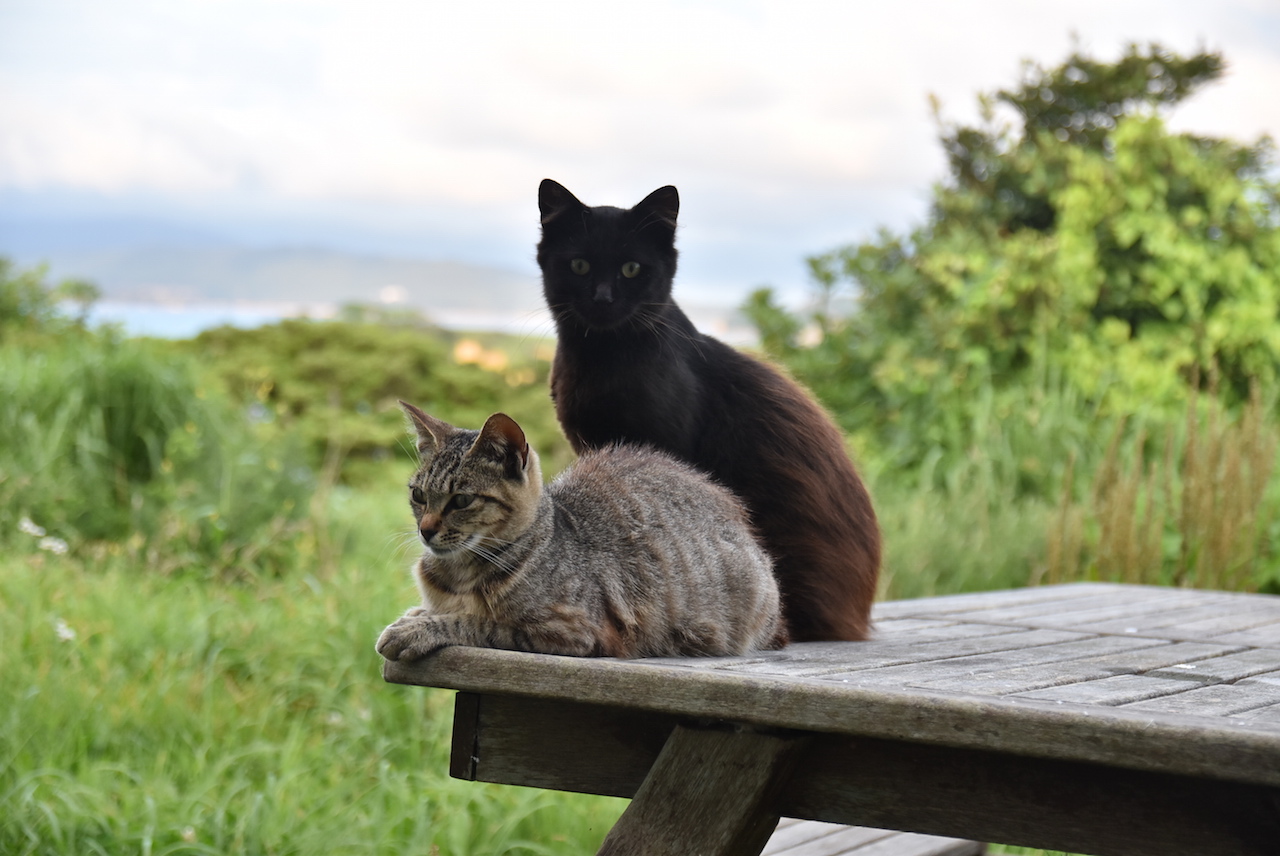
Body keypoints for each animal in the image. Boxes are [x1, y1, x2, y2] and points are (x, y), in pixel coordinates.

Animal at [373, 401, 783, 660]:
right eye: (418, 495)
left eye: (461, 500)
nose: (425, 530)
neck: (459, 576)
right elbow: (432, 610)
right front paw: (414, 618)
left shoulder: (572, 631)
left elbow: (478, 622)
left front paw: (418, 630)